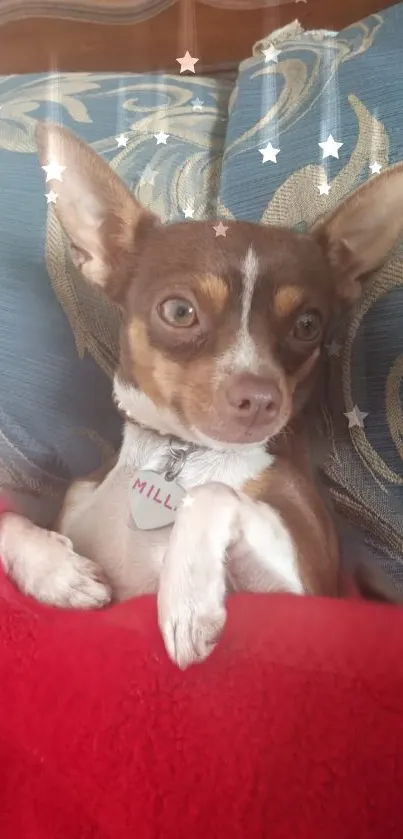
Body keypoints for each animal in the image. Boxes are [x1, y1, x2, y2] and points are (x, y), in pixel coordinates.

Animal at [0, 121, 403, 668]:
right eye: (178, 311)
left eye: (307, 325)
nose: (260, 397)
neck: (185, 455)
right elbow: (9, 518)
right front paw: (58, 572)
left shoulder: (307, 592)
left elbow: (213, 495)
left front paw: (188, 599)